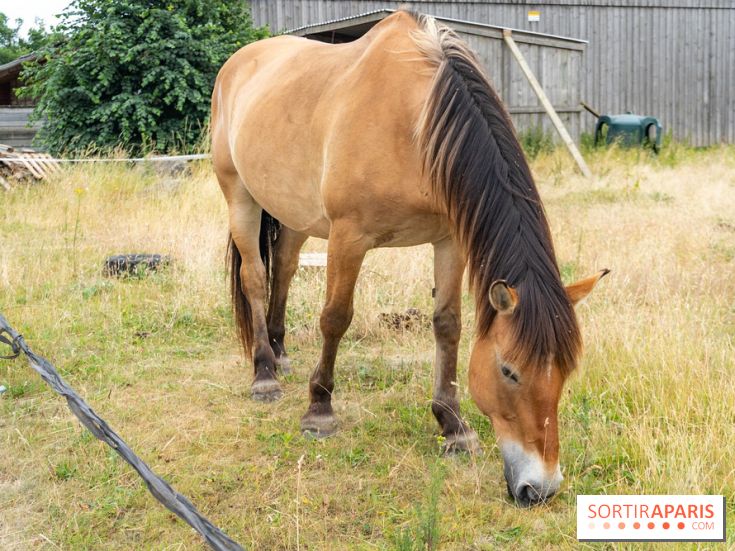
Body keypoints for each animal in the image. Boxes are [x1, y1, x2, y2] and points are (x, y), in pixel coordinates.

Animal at [211, 10, 607, 507]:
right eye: (508, 371)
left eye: (566, 372)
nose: (541, 487)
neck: (413, 123)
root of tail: (239, 60)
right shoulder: (348, 237)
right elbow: (335, 318)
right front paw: (319, 409)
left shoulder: (450, 240)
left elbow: (448, 325)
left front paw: (453, 425)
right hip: (239, 196)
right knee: (255, 278)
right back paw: (264, 373)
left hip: (294, 211)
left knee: (282, 268)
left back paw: (281, 355)